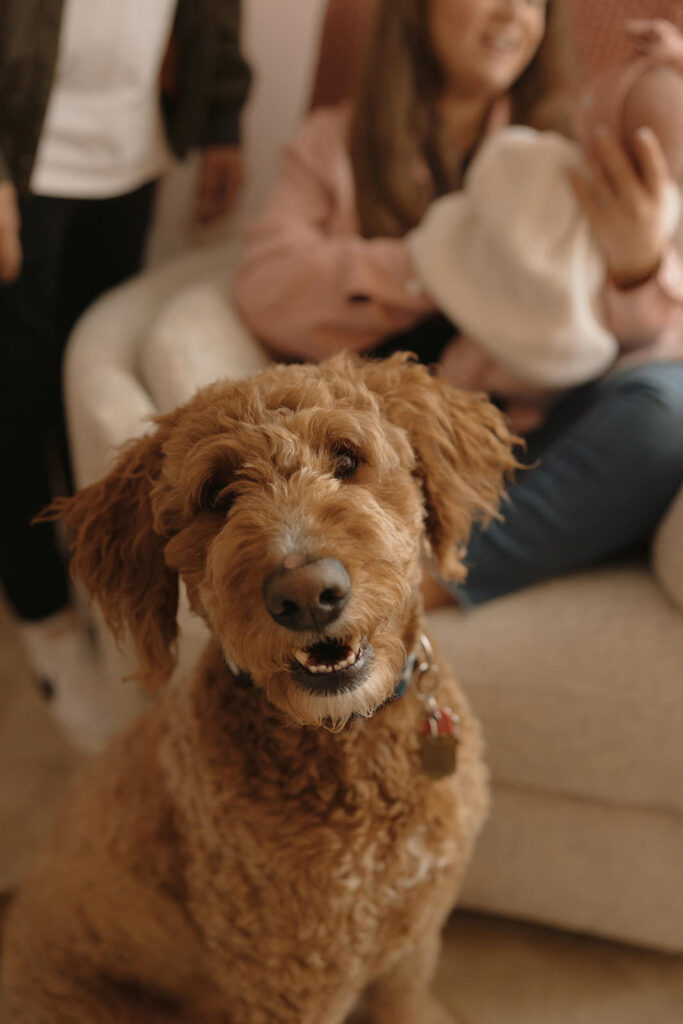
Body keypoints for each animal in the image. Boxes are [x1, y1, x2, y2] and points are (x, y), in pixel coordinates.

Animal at [0, 354, 516, 1024]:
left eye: (346, 458)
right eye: (217, 495)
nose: (307, 594)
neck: (354, 744)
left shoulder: (414, 938)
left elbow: (407, 1000)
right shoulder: (287, 986)